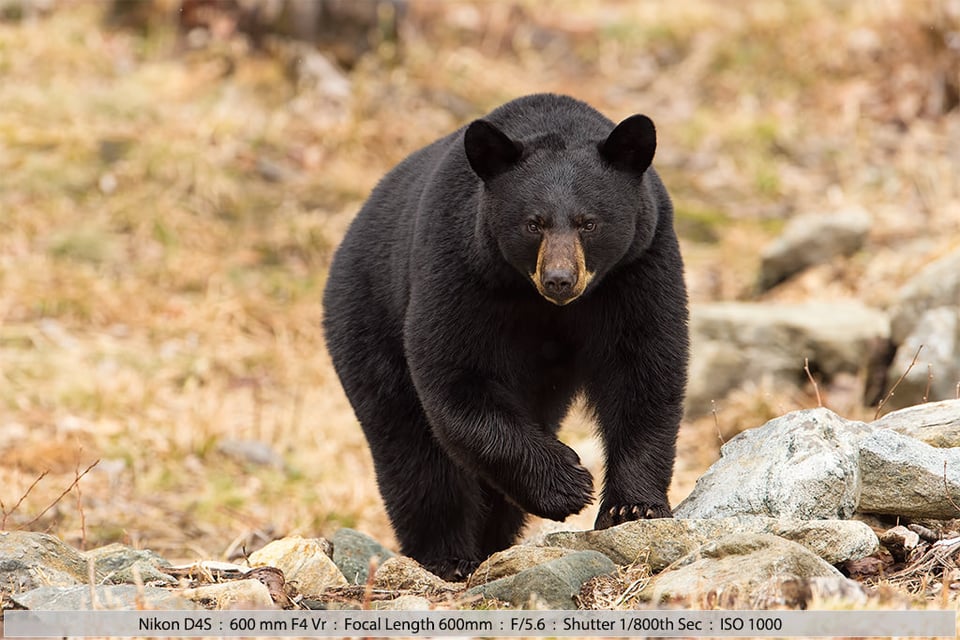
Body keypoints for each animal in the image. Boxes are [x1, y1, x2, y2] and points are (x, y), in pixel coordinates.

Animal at [326, 94, 688, 580]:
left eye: (588, 223)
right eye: (533, 223)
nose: (559, 279)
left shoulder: (640, 265)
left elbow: (644, 366)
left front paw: (632, 508)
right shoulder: (462, 265)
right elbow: (454, 377)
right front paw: (568, 483)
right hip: (367, 319)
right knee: (412, 452)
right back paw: (448, 556)